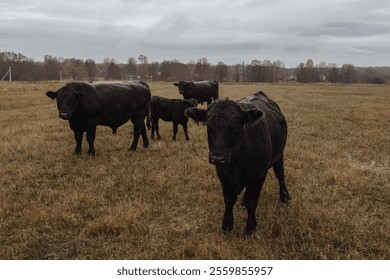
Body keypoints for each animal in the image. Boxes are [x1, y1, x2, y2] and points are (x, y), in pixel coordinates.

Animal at [185, 91, 290, 234]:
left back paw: (285, 197)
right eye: (209, 126)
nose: (217, 157)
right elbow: (229, 200)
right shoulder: (223, 174)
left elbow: (252, 200)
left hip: (279, 155)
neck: (237, 162)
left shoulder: (258, 175)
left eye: (234, 128)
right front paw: (227, 225)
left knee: (280, 175)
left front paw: (250, 227)